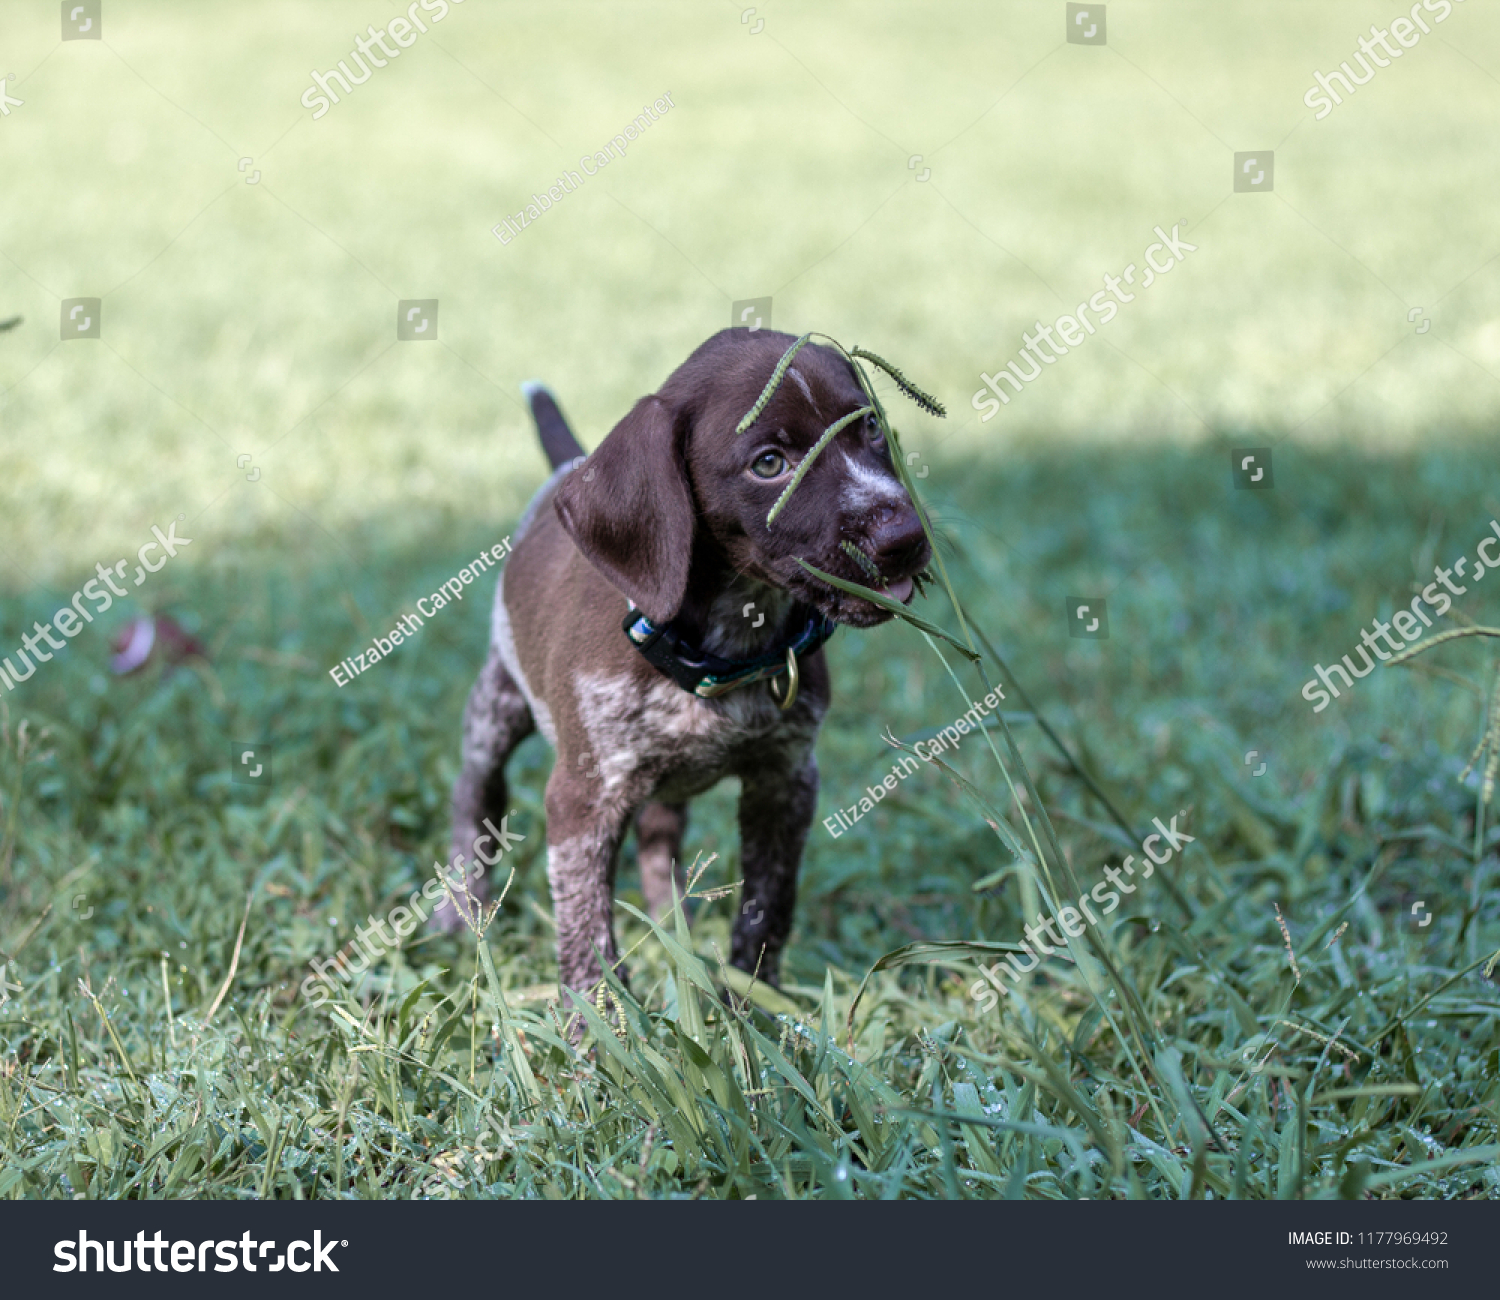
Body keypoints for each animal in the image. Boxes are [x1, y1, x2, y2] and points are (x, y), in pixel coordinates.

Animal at [435, 328, 924, 1007]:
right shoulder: (584, 799)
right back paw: (460, 916)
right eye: (768, 463)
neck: (725, 644)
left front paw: (754, 1008)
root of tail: (569, 465)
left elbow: (768, 909)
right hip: (498, 704)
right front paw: (597, 1029)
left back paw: (676, 928)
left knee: (658, 839)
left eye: (871, 427)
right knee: (475, 791)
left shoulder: (786, 780)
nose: (904, 537)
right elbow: (587, 936)